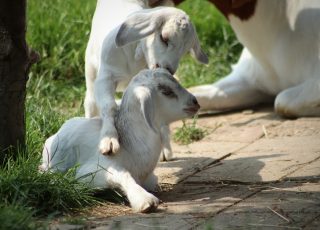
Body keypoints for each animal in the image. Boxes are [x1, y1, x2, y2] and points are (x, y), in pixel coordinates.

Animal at [40, 69, 200, 213]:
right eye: (166, 91)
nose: (195, 102)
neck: (131, 146)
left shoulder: (149, 178)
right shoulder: (89, 171)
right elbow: (123, 175)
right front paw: (145, 200)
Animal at [84, 0, 208, 158]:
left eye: (186, 51)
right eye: (164, 38)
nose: (168, 69)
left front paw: (164, 148)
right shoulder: (106, 77)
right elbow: (109, 106)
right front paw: (109, 140)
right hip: (90, 72)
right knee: (91, 103)